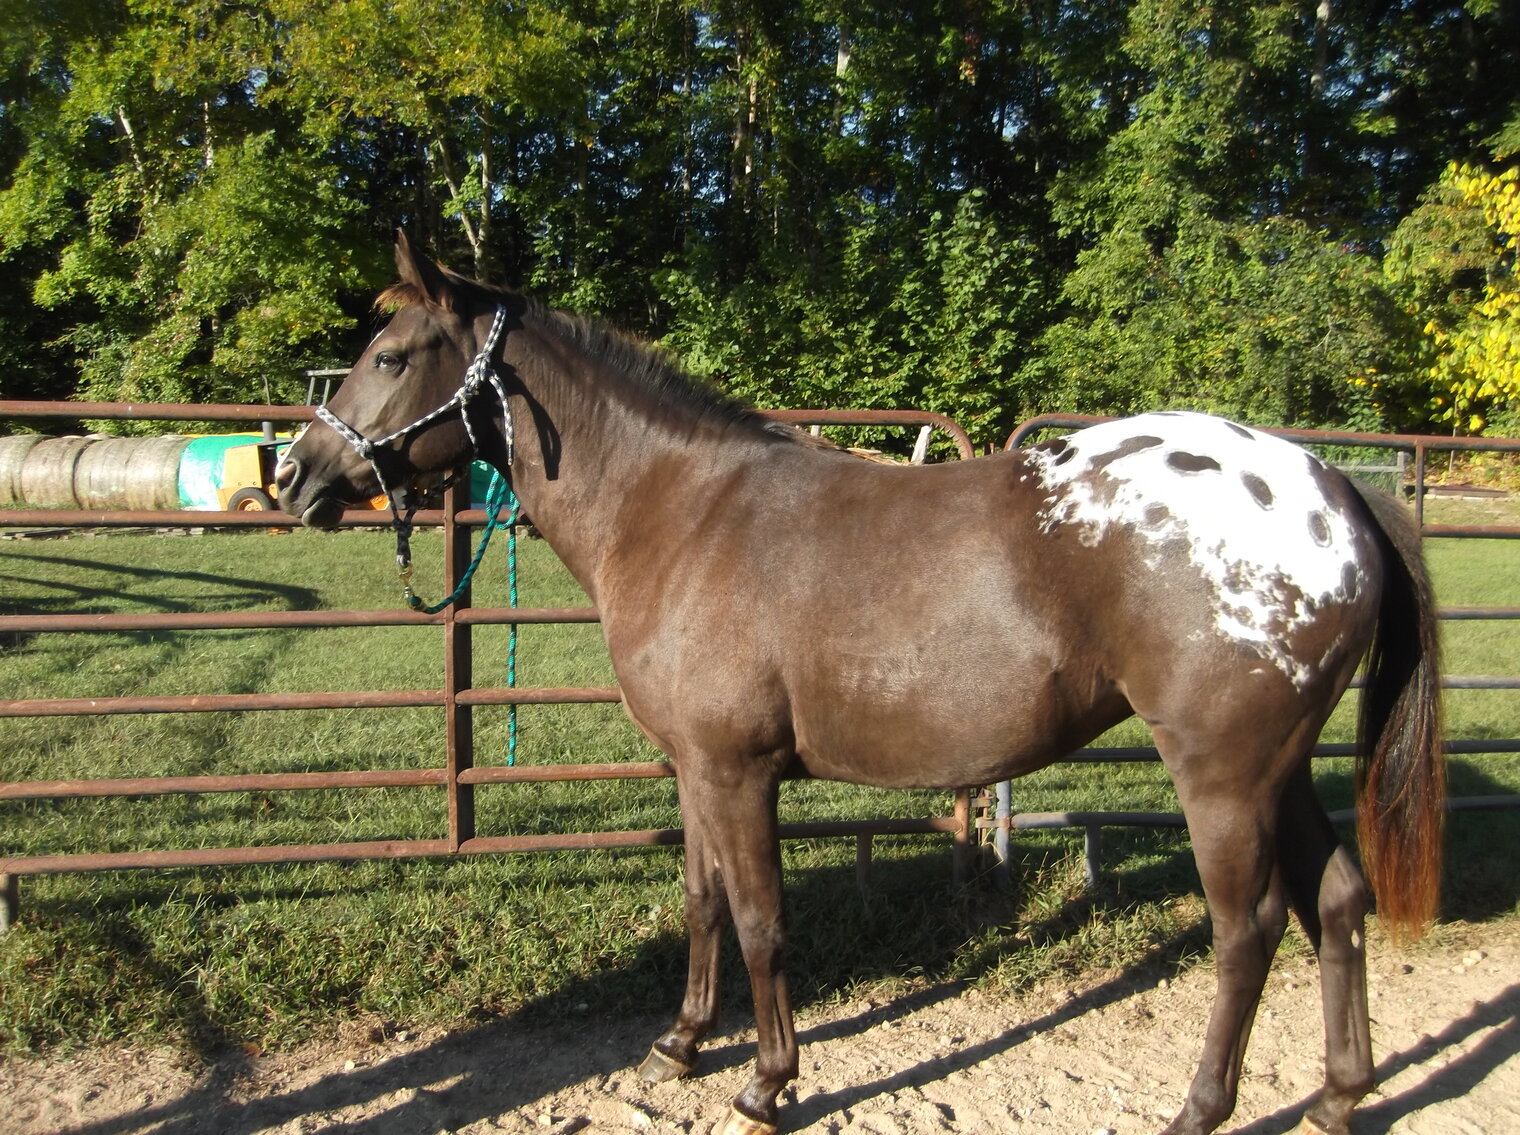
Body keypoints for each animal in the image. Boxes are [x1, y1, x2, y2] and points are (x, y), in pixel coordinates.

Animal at [277, 233, 1444, 1135]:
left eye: (390, 354)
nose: (292, 476)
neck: (680, 511)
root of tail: (1334, 489)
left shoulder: (739, 773)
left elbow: (760, 921)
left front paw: (766, 1082)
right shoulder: (694, 770)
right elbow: (702, 902)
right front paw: (680, 1043)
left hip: (1221, 775)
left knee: (1246, 930)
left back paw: (1200, 1109)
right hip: (1278, 769)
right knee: (1336, 901)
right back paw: (1339, 1096)